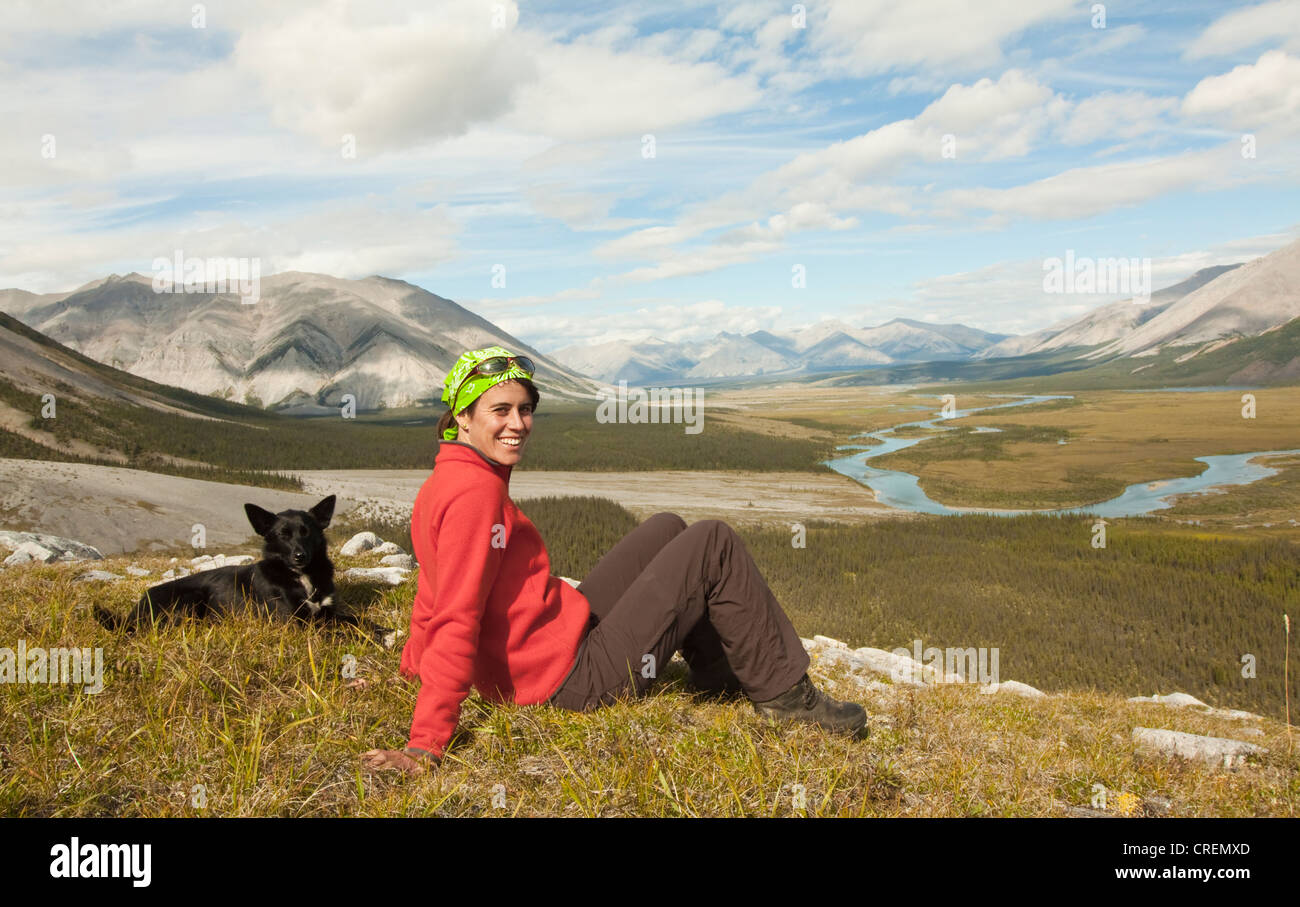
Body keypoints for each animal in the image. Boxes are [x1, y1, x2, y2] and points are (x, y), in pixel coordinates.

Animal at [94, 491, 387, 639]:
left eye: (308, 532)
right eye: (283, 535)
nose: (300, 556)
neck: (300, 576)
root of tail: (135, 609)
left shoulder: (329, 611)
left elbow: (356, 620)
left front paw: (380, 630)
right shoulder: (294, 622)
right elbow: (336, 633)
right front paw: (359, 639)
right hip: (189, 599)